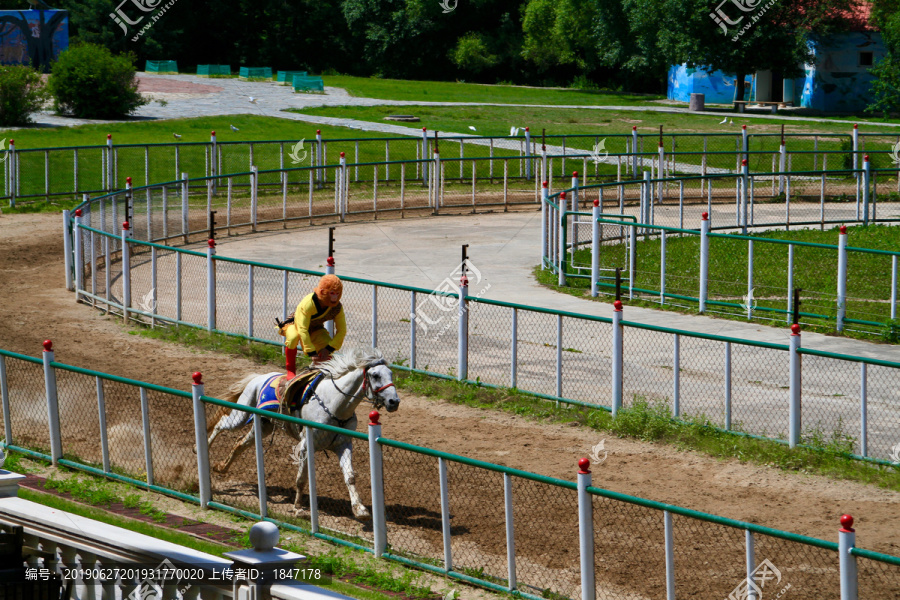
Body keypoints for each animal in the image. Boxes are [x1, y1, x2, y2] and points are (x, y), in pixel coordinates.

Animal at [207, 346, 400, 520]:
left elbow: (350, 476)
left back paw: (221, 467)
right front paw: (298, 508)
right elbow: (301, 479)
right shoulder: (305, 446)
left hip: (263, 426)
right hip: (241, 415)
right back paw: (202, 448)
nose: (394, 401)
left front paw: (360, 509)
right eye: (375, 375)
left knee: (240, 443)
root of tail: (258, 378)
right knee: (221, 425)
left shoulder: (343, 444)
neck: (334, 407)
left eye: (391, 374)